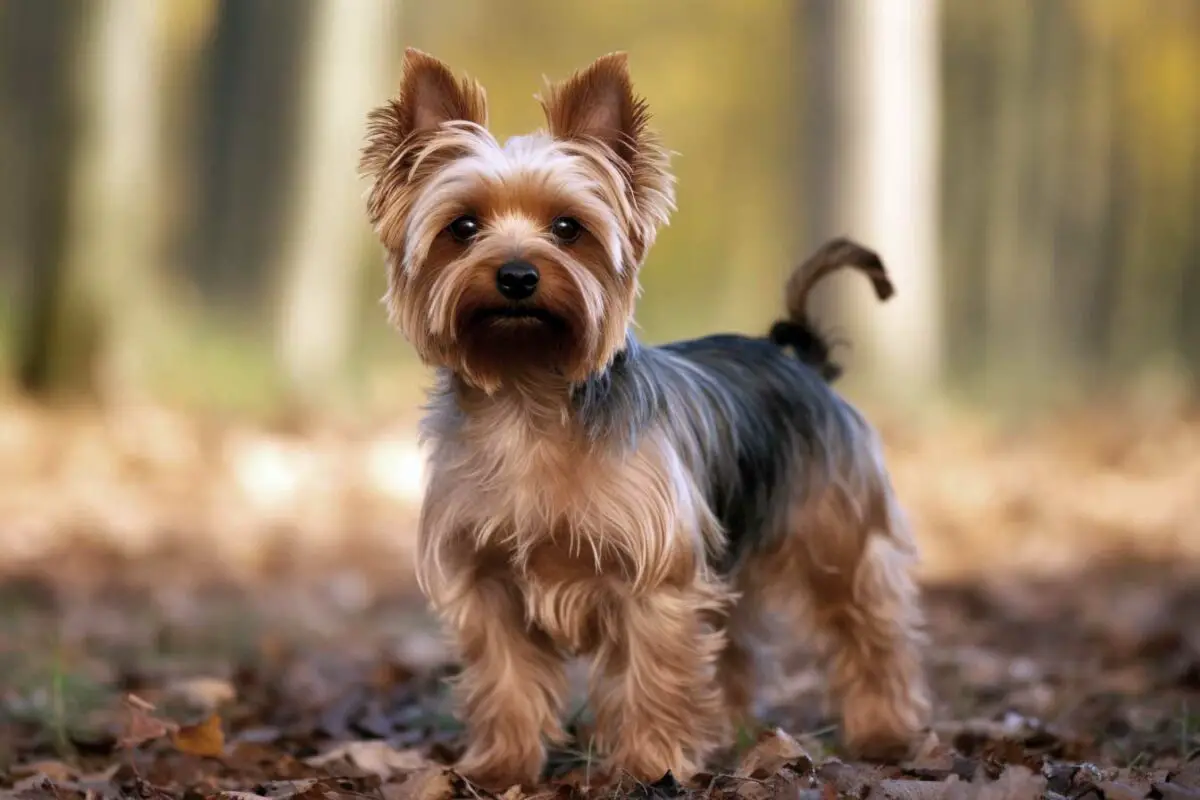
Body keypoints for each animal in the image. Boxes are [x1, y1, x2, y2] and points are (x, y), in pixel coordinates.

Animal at [355, 47, 926, 786]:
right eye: (464, 227)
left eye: (568, 228)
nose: (516, 275)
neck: (527, 396)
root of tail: (802, 358)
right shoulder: (486, 582)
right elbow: (505, 677)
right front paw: (501, 767)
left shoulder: (656, 577)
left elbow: (652, 676)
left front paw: (647, 766)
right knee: (734, 648)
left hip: (838, 534)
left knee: (869, 628)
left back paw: (885, 731)